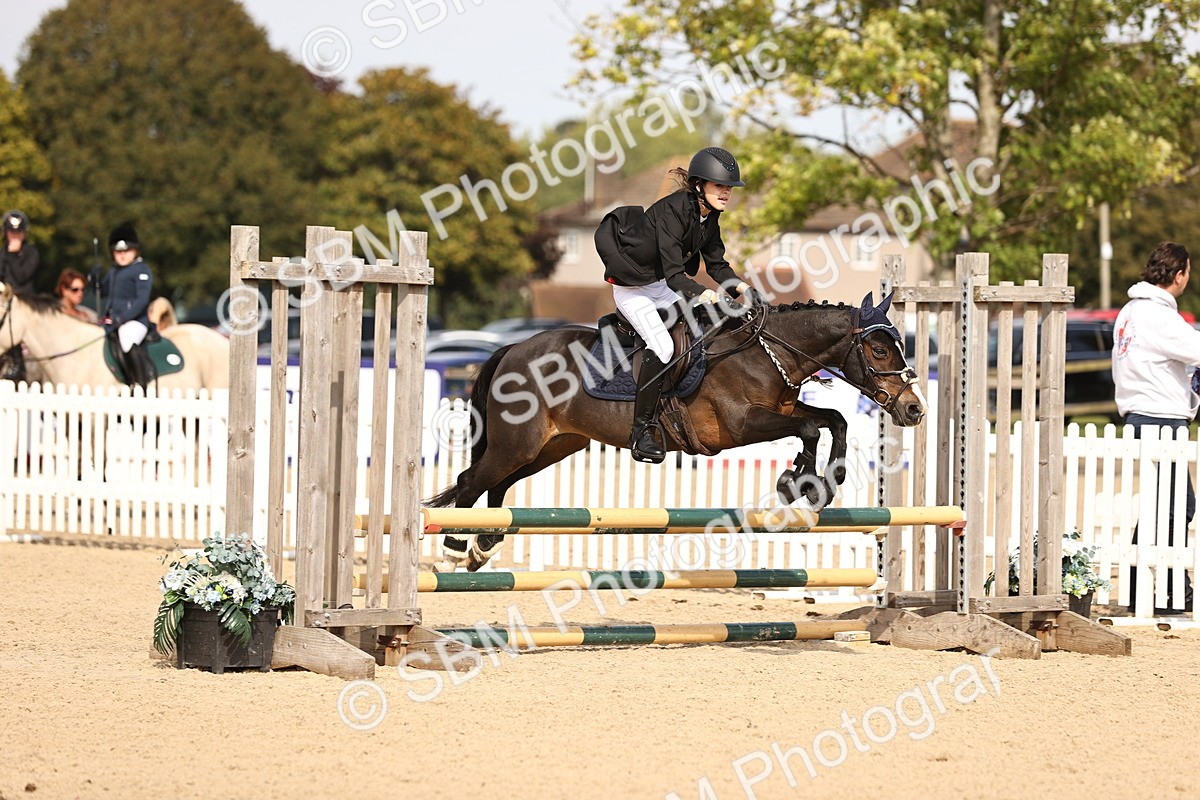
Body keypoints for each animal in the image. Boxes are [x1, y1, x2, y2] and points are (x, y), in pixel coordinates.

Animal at [427, 291, 926, 571]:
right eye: (879, 351)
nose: (914, 409)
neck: (765, 354)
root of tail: (512, 348)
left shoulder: (782, 408)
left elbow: (832, 420)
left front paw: (821, 480)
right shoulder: (740, 425)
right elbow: (809, 427)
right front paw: (800, 481)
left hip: (551, 446)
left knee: (497, 484)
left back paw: (483, 545)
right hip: (518, 443)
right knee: (470, 482)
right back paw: (454, 547)